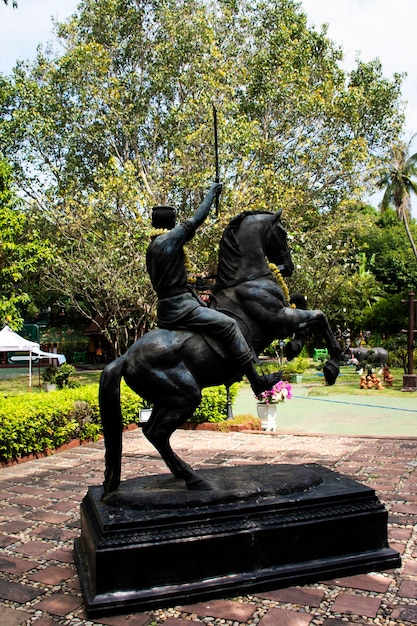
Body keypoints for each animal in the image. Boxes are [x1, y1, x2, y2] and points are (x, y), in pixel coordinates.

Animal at [99, 210, 340, 492]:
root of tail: (125, 357)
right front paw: (330, 365)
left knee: (151, 432)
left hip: (166, 399)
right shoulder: (280, 320)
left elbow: (302, 300)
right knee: (158, 433)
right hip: (184, 396)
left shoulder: (285, 316)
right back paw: (193, 477)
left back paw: (183, 474)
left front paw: (294, 347)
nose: (288, 267)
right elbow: (319, 315)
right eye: (282, 233)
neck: (247, 281)